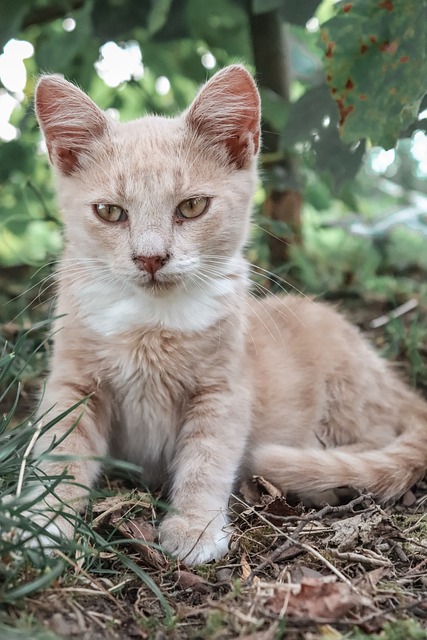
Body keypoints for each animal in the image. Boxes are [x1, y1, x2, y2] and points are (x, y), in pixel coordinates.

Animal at [28, 65, 426, 564]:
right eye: (110, 212)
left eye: (192, 206)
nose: (151, 258)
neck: (151, 321)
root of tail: (397, 383)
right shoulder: (73, 383)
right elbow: (60, 449)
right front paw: (44, 521)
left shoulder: (223, 390)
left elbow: (206, 460)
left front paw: (195, 526)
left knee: (373, 443)